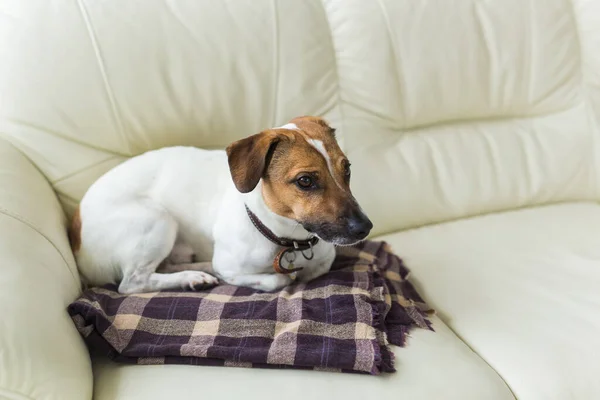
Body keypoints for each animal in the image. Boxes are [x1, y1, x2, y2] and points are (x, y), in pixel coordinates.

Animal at [69, 115, 370, 294]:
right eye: (305, 181)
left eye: (347, 169)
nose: (365, 228)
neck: (289, 241)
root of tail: (75, 231)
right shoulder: (233, 268)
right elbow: (279, 279)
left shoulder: (323, 261)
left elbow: (314, 270)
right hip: (157, 220)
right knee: (133, 282)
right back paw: (189, 276)